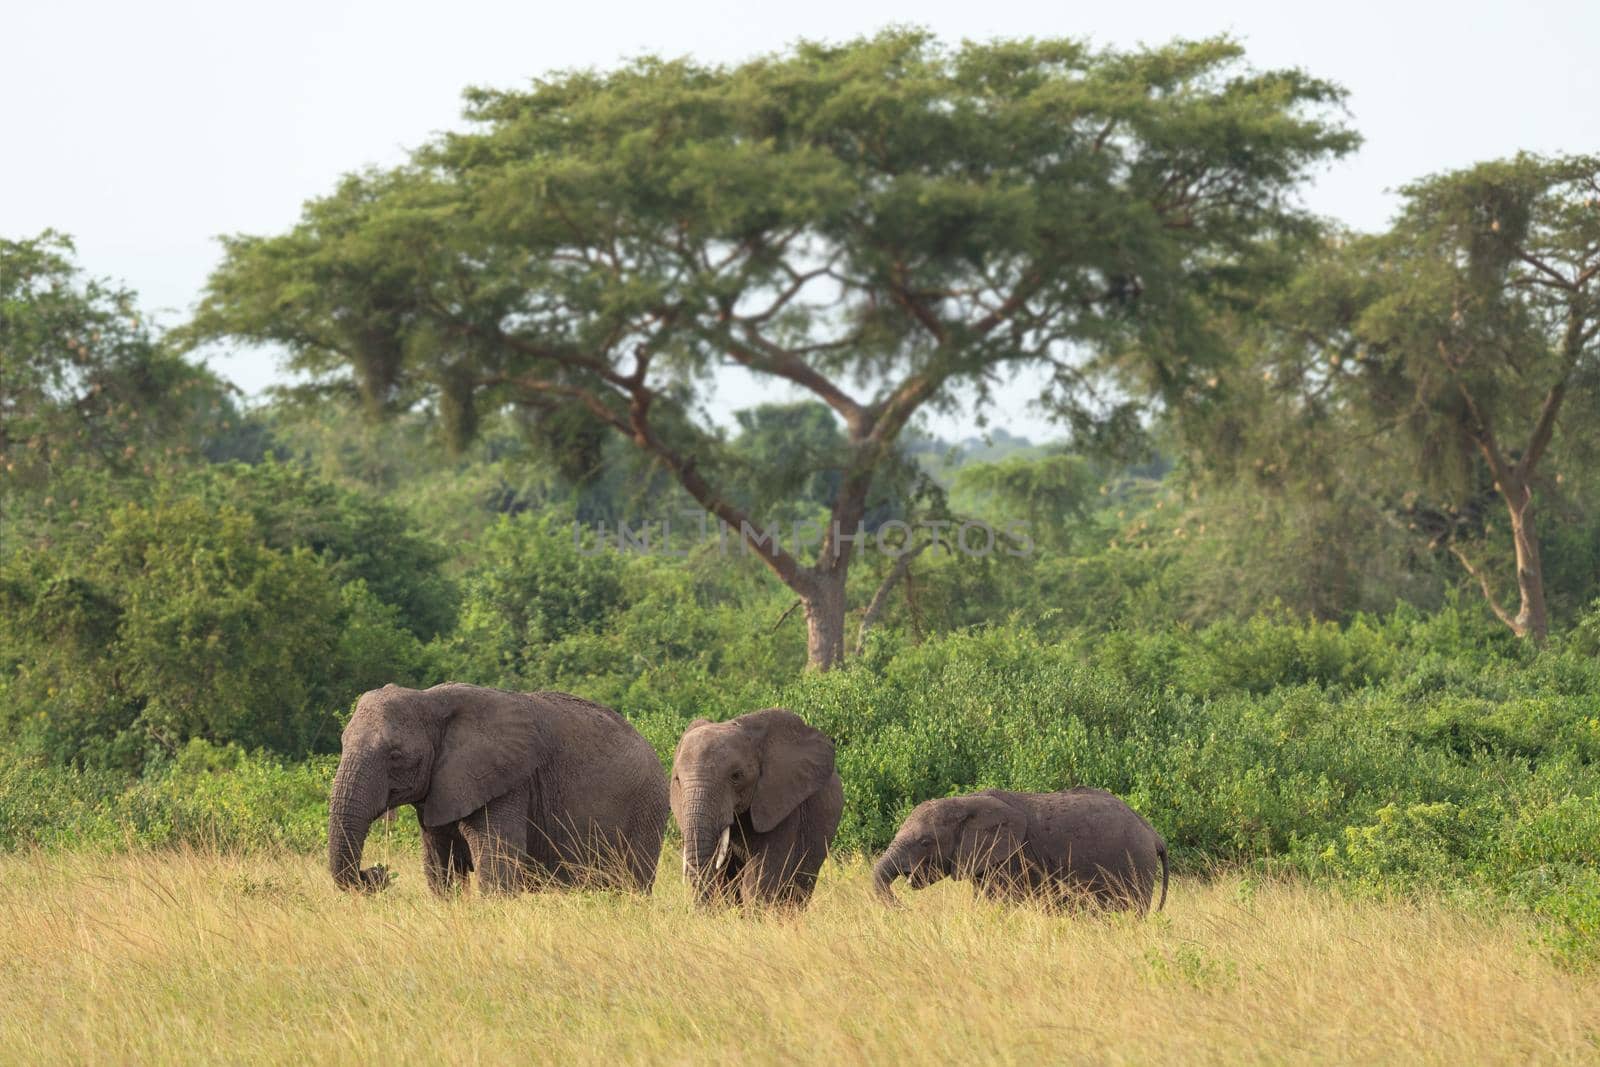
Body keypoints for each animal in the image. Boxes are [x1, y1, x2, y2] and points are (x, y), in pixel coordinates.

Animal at [331, 684, 668, 895]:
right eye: (342, 743)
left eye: (395, 754)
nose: (376, 871)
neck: (430, 700)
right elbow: (440, 869)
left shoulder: (508, 784)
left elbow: (495, 869)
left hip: (646, 810)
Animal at [876, 790, 1164, 915]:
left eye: (925, 842)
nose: (903, 907)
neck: (966, 802)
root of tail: (1153, 833)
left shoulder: (1013, 859)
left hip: (1136, 867)